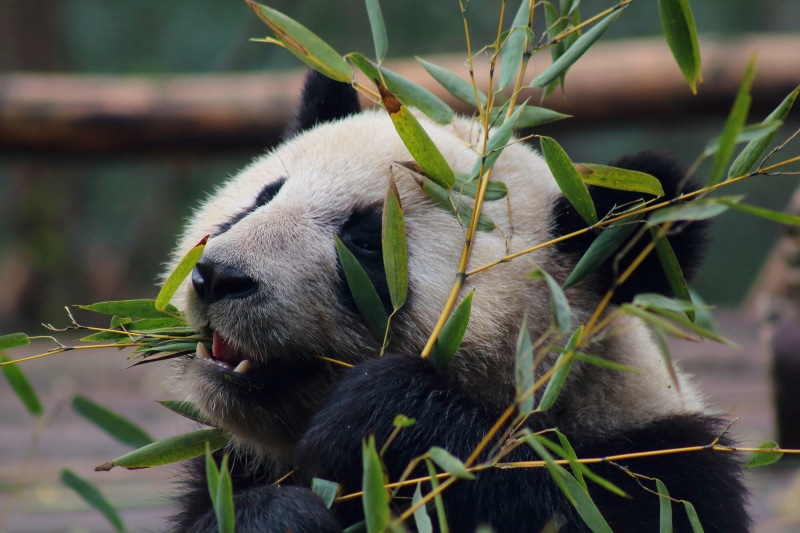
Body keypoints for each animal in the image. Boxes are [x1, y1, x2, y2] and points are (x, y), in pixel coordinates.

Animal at [166, 71, 748, 532]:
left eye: (366, 241)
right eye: (261, 199)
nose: (219, 277)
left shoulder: (668, 464)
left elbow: (550, 498)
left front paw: (377, 417)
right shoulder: (226, 465)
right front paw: (277, 517)